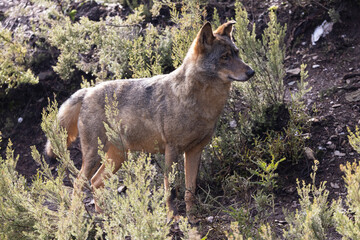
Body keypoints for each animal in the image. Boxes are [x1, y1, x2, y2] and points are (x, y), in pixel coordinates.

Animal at [45, 20, 256, 219]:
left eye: (237, 53)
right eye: (225, 57)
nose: (251, 72)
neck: (200, 103)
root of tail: (87, 91)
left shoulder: (195, 151)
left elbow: (190, 190)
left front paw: (192, 217)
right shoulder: (172, 150)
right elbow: (170, 190)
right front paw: (173, 217)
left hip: (117, 158)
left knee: (95, 182)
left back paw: (104, 218)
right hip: (94, 156)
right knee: (79, 184)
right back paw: (78, 220)